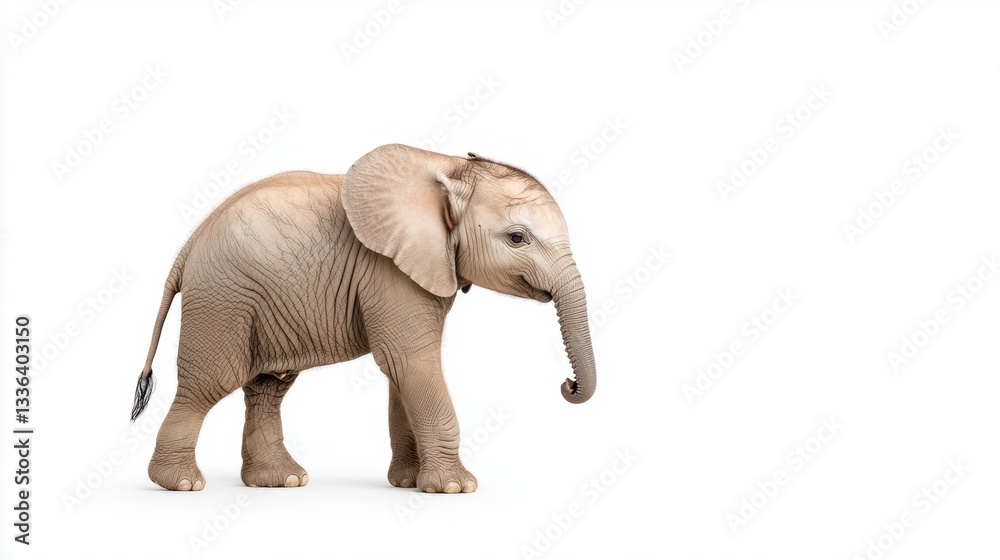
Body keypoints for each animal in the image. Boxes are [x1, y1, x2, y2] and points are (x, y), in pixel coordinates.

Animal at [129, 143, 597, 493]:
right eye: (517, 238)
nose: (567, 384)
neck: (445, 166)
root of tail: (186, 248)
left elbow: (402, 371)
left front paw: (408, 483)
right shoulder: (389, 270)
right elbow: (411, 361)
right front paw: (456, 488)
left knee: (268, 386)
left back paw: (283, 481)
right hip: (222, 298)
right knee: (210, 383)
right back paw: (182, 484)